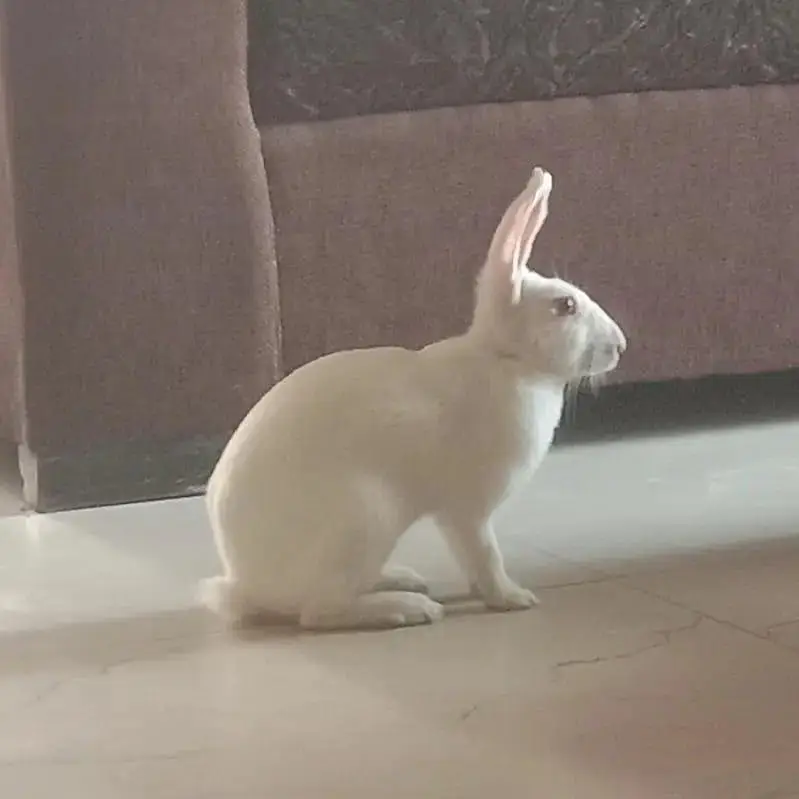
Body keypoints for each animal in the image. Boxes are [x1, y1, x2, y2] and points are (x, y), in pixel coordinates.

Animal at [200, 165, 626, 632]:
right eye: (565, 306)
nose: (620, 345)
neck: (505, 359)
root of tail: (246, 586)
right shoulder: (467, 510)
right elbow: (485, 553)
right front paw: (513, 597)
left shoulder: (457, 516)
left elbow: (470, 558)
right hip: (365, 519)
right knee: (319, 611)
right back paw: (409, 607)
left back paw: (402, 580)